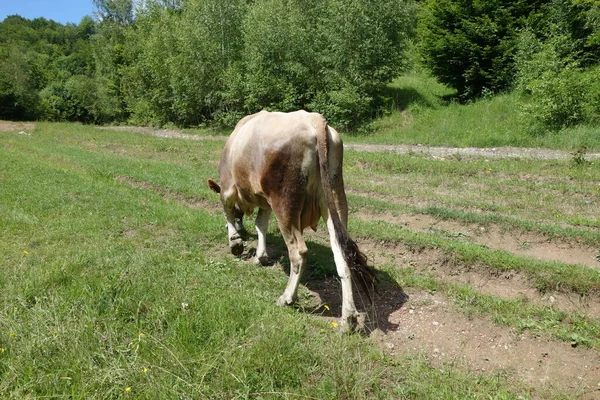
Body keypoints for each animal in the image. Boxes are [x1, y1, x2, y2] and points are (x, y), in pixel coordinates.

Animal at [207, 109, 376, 332]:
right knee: (341, 254)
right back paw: (348, 319)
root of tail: (313, 118)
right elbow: (261, 224)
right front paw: (260, 256)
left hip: (285, 202)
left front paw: (235, 242)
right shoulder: (265, 201)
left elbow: (228, 211)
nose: (242, 231)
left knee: (298, 253)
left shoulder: (227, 185)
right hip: (335, 196)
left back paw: (287, 297)